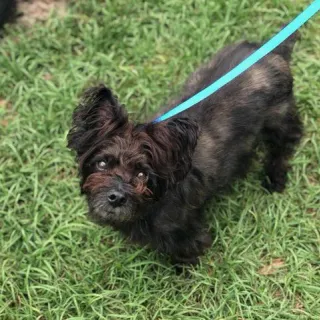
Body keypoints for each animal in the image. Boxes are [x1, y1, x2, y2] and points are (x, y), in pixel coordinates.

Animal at [67, 29, 302, 264]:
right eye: (102, 163)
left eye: (142, 174)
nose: (116, 197)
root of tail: (272, 50)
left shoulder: (185, 234)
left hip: (278, 119)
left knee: (288, 140)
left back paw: (275, 177)